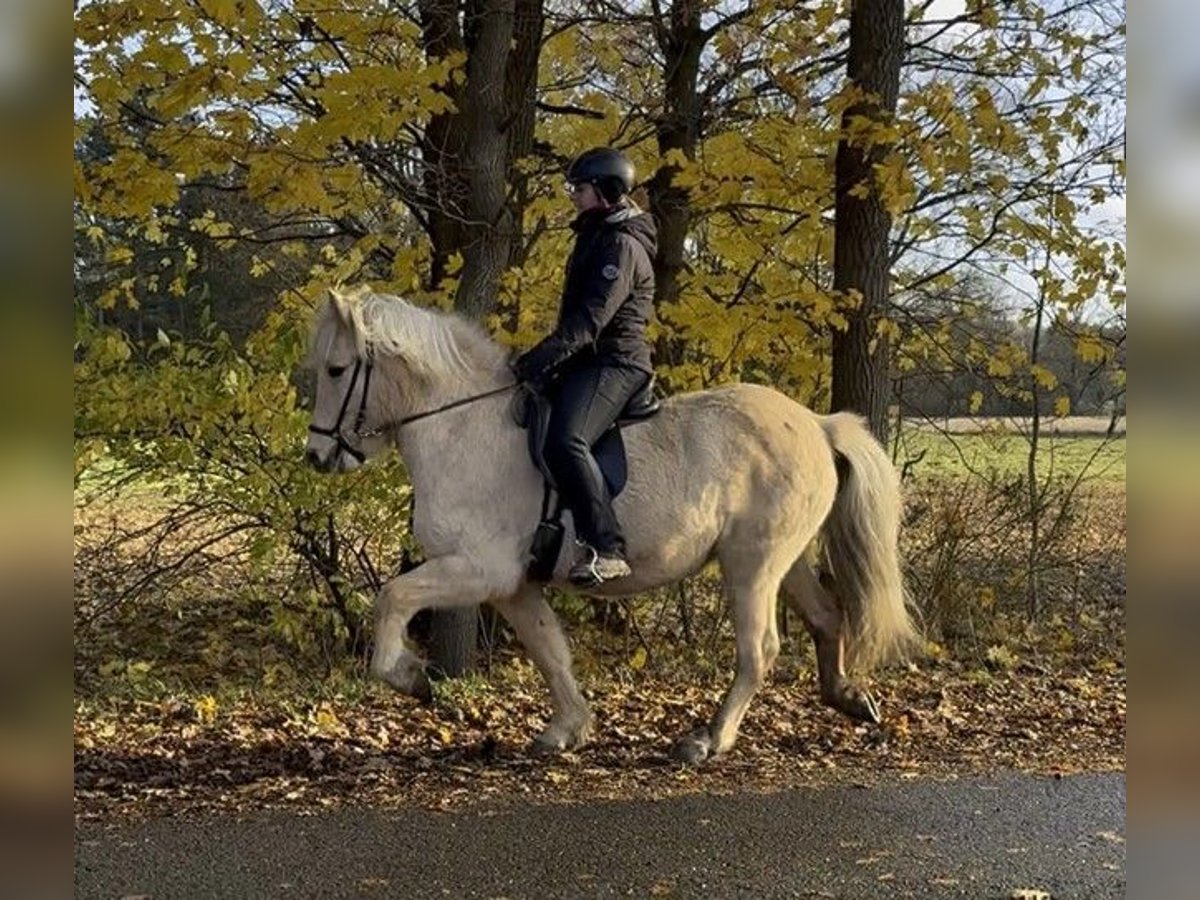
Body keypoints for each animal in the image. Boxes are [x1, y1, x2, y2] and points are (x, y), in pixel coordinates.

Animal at [302, 285, 916, 763]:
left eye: (336, 370)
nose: (317, 456)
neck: (463, 428)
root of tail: (817, 423)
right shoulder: (512, 585)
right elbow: (550, 651)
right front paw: (567, 728)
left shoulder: (477, 569)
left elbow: (393, 597)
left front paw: (411, 678)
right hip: (783, 561)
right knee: (826, 616)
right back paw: (847, 697)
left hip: (753, 565)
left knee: (759, 649)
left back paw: (709, 740)